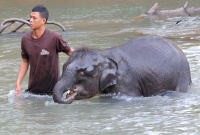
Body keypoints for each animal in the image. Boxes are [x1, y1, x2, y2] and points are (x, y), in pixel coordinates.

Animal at [52, 35, 191, 103]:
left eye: (81, 73)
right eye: (63, 67)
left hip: (182, 73)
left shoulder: (126, 81)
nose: (70, 91)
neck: (104, 54)